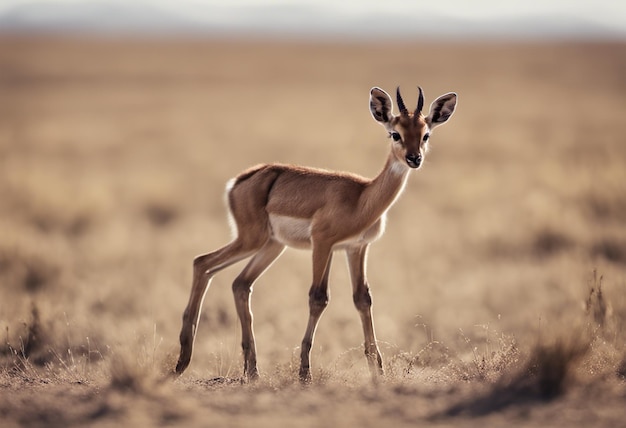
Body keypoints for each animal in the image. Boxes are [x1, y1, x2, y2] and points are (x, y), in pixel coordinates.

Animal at [173, 85, 456, 382]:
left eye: (425, 134)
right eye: (395, 133)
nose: (414, 158)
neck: (362, 197)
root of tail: (239, 181)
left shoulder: (355, 248)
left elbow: (362, 298)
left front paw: (377, 371)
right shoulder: (322, 244)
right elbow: (318, 297)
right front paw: (304, 373)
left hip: (272, 246)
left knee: (239, 283)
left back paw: (251, 371)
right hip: (251, 240)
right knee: (202, 262)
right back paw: (182, 361)